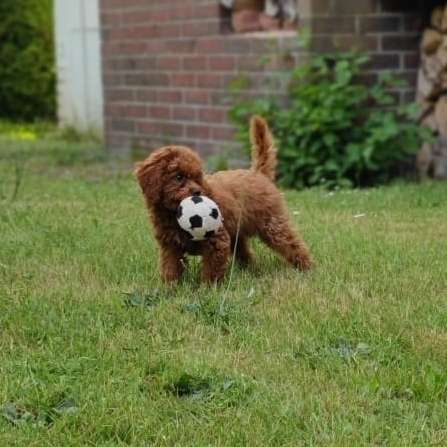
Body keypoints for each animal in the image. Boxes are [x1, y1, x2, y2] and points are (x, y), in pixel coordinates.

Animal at [135, 115, 314, 284]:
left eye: (197, 178)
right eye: (178, 177)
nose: (197, 191)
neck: (172, 215)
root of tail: (258, 173)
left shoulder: (217, 240)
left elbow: (211, 270)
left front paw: (208, 289)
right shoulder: (170, 246)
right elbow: (171, 267)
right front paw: (170, 288)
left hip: (272, 223)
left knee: (292, 244)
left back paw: (307, 267)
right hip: (238, 233)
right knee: (244, 252)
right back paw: (250, 270)